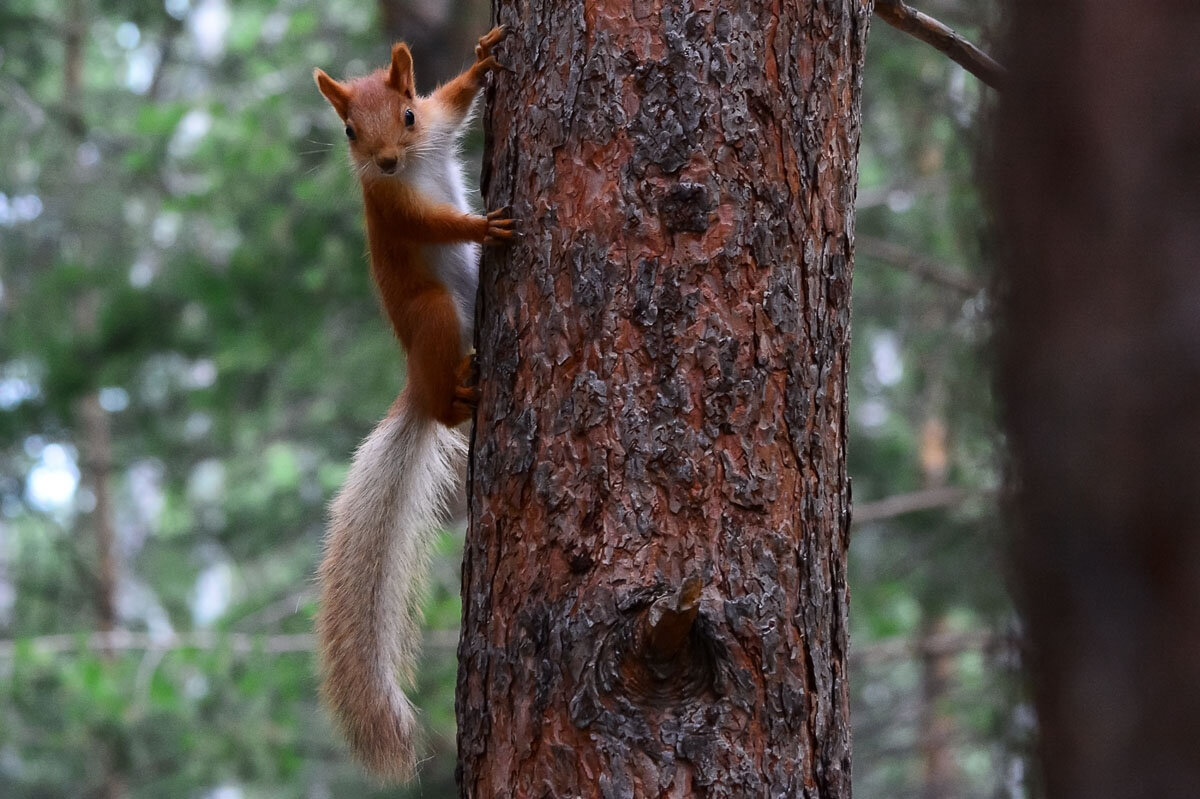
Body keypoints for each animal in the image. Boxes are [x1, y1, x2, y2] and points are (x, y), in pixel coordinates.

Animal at [309, 26, 511, 777]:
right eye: (347, 130)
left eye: (407, 114)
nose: (388, 160)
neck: (411, 168)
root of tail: (417, 390)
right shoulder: (396, 208)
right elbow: (436, 223)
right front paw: (482, 228)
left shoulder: (440, 127)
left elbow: (456, 101)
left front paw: (483, 59)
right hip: (433, 314)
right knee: (446, 398)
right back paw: (462, 398)